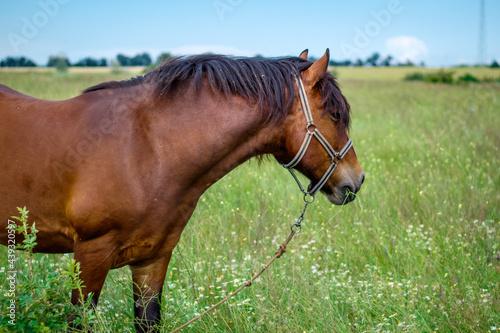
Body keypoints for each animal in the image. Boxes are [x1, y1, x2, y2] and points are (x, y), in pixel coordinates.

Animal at [1, 48, 366, 330]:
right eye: (335, 115)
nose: (356, 180)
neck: (147, 146)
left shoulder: (152, 259)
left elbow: (148, 321)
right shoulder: (91, 254)